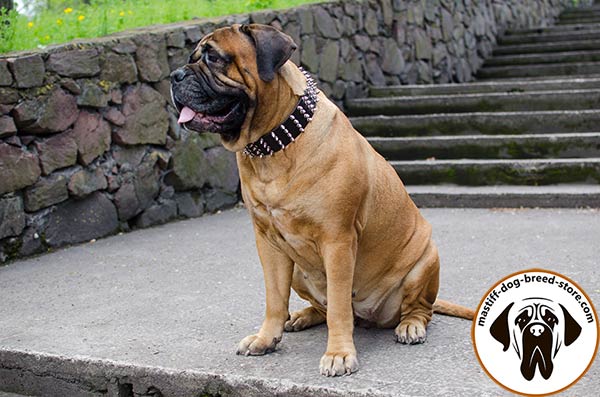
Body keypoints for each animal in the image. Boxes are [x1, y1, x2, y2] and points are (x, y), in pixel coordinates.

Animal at [171, 23, 476, 376]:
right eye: (192, 56)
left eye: (215, 58)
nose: (174, 75)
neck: (274, 145)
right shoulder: (268, 243)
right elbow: (274, 299)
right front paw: (266, 338)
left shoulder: (338, 241)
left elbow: (339, 308)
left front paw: (339, 353)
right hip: (298, 272)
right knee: (317, 304)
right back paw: (301, 316)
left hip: (426, 259)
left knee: (419, 308)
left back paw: (410, 325)